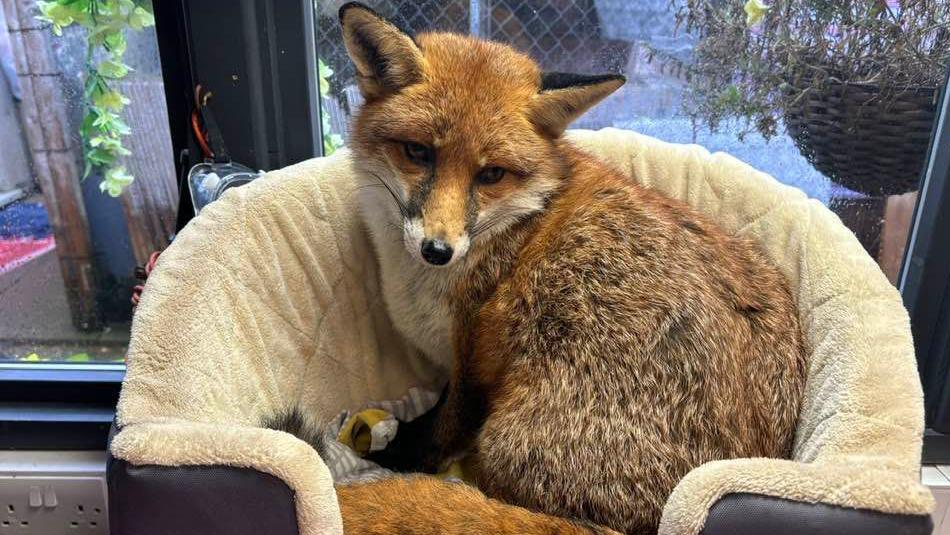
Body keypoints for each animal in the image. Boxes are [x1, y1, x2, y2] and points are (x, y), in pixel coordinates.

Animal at [274, 4, 804, 535]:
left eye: (491, 174)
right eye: (419, 152)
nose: (437, 250)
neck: (515, 222)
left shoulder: (473, 353)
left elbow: (441, 432)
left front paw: (400, 447)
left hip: (505, 441)